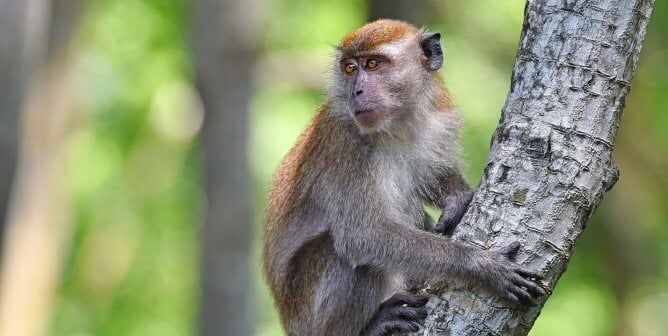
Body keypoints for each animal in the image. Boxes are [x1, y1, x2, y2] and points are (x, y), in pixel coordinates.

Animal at [260, 19, 544, 336]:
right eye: (350, 68)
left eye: (373, 64)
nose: (356, 92)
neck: (396, 127)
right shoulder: (347, 146)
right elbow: (364, 235)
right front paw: (481, 265)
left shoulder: (437, 121)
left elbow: (432, 175)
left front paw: (456, 197)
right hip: (309, 314)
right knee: (342, 252)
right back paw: (372, 325)